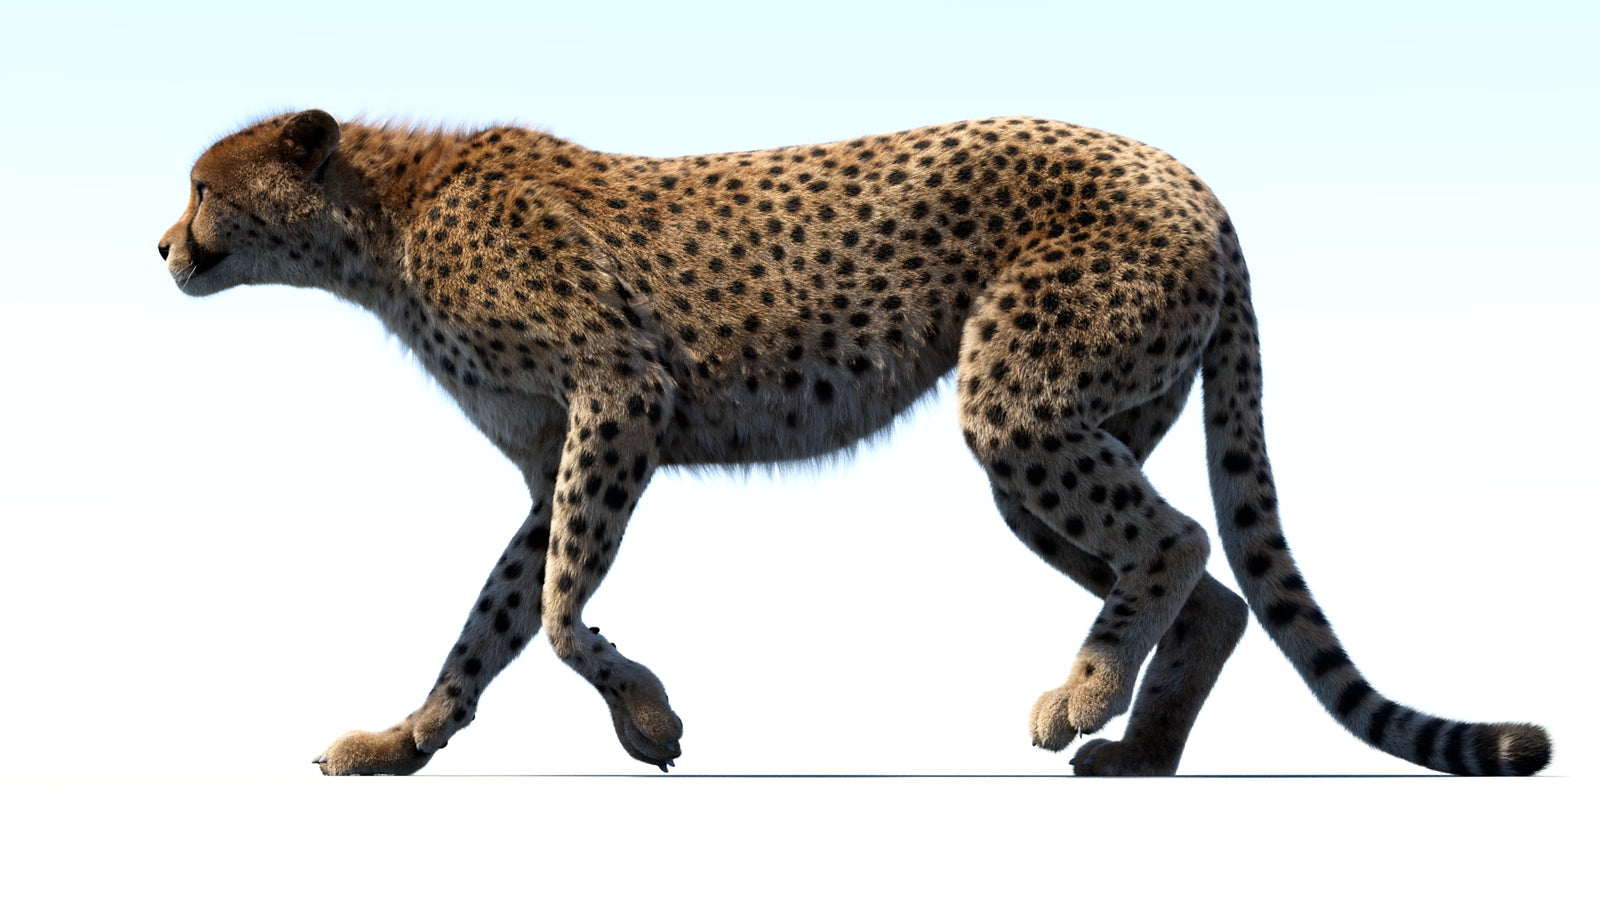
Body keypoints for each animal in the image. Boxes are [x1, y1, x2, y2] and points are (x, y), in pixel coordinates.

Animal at [159, 109, 1551, 776]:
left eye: (204, 187)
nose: (164, 244)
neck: (379, 223)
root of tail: (1186, 174)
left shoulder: (622, 395)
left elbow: (554, 612)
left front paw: (647, 716)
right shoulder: (556, 458)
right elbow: (493, 619)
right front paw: (406, 740)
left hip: (1019, 402)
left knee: (1177, 539)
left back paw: (1088, 695)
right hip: (1065, 437)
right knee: (1206, 585)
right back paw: (1144, 754)